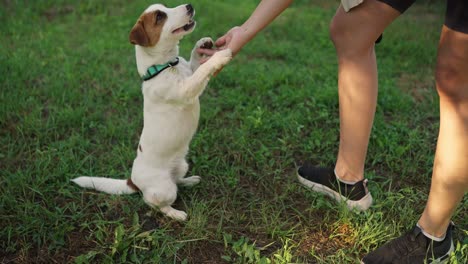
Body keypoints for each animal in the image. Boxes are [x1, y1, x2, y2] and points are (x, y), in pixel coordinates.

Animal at [72, 3, 232, 221]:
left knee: (177, 181)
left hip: (181, 165)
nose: (189, 5)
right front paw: (219, 57)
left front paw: (202, 44)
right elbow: (201, 71)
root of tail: (133, 181)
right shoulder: (186, 90)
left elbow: (195, 65)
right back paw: (176, 214)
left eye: (166, 8)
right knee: (156, 204)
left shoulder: (188, 74)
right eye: (159, 17)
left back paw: (189, 180)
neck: (165, 66)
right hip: (164, 189)